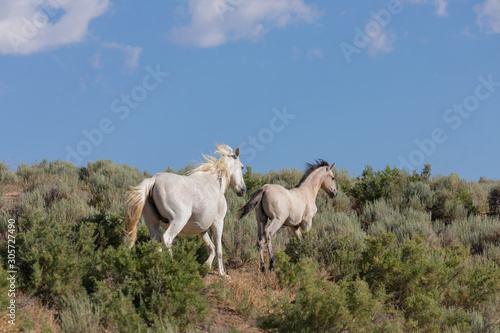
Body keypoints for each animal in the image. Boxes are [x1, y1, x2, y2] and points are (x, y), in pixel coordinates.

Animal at [125, 144, 246, 276]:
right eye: (242, 167)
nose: (243, 190)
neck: (213, 182)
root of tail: (154, 180)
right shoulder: (218, 222)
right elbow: (219, 249)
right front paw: (222, 274)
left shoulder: (201, 230)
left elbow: (211, 248)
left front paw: (206, 266)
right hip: (178, 221)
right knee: (167, 239)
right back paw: (174, 267)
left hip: (152, 222)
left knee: (156, 244)